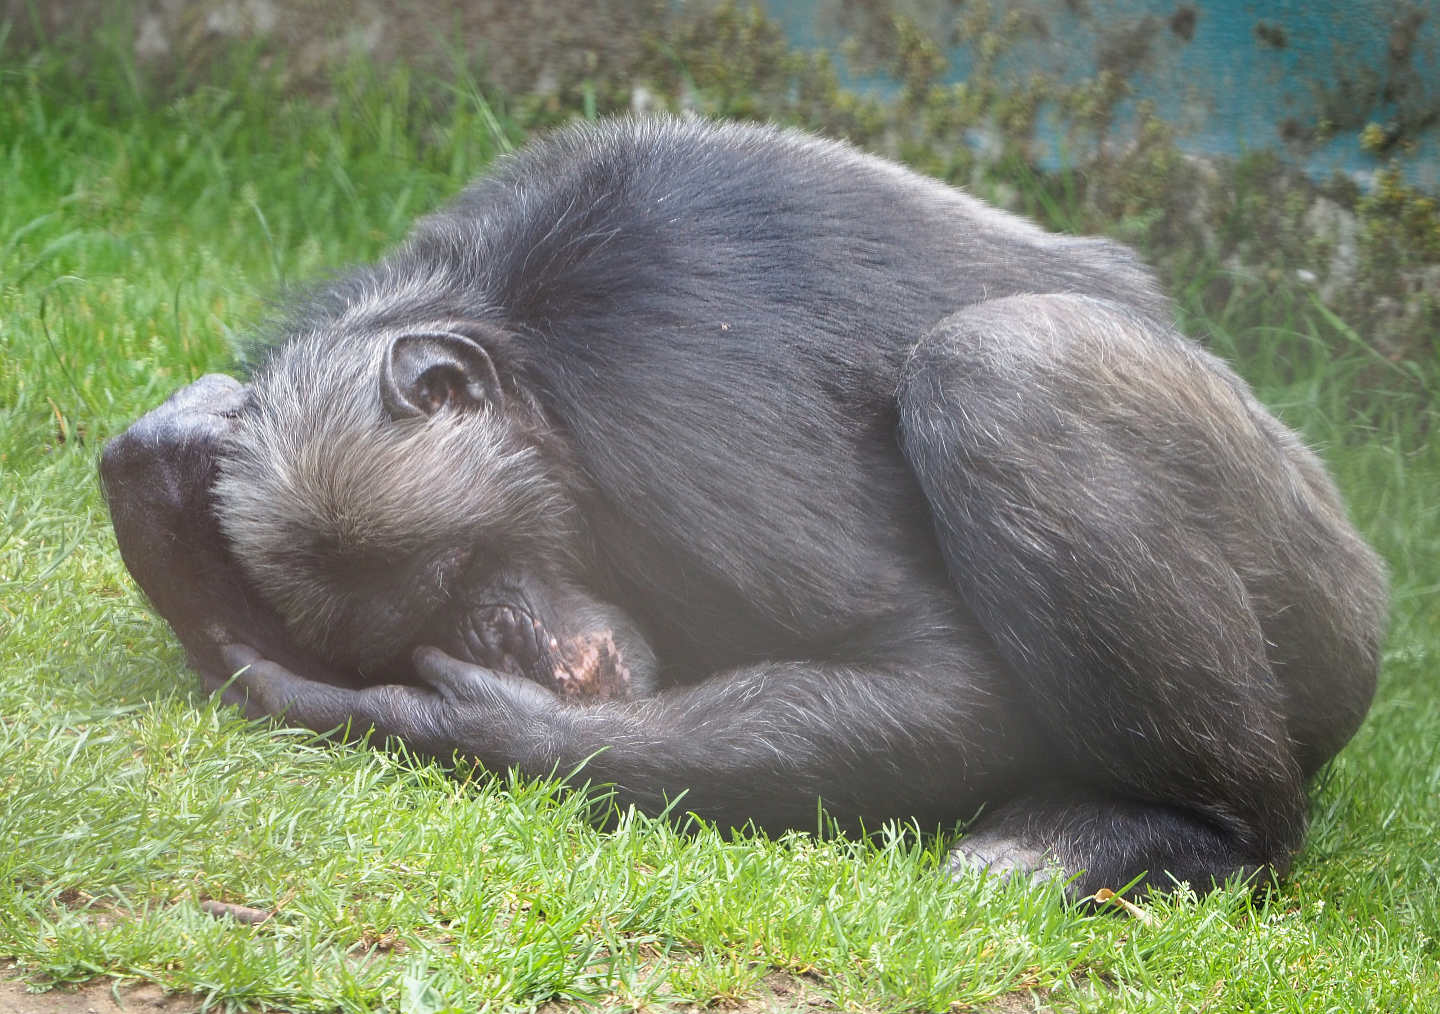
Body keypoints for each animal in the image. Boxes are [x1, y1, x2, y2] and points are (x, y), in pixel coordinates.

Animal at [100, 116, 1387, 900]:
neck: (526, 352)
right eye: (421, 610)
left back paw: (1160, 830)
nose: (495, 633)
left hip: (1320, 616)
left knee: (1009, 371)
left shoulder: (686, 408)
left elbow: (942, 672)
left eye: (457, 569)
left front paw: (461, 721)